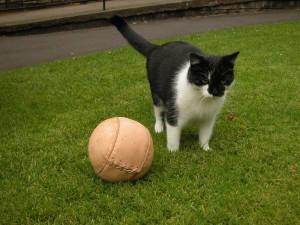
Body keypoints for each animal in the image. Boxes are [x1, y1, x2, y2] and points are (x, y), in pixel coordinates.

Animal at [110, 16, 239, 151]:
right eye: (205, 80)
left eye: (223, 80)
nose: (215, 91)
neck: (201, 99)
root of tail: (156, 48)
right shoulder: (173, 112)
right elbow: (173, 135)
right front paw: (173, 152)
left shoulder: (208, 119)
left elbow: (205, 135)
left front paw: (205, 149)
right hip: (156, 92)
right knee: (157, 109)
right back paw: (158, 127)